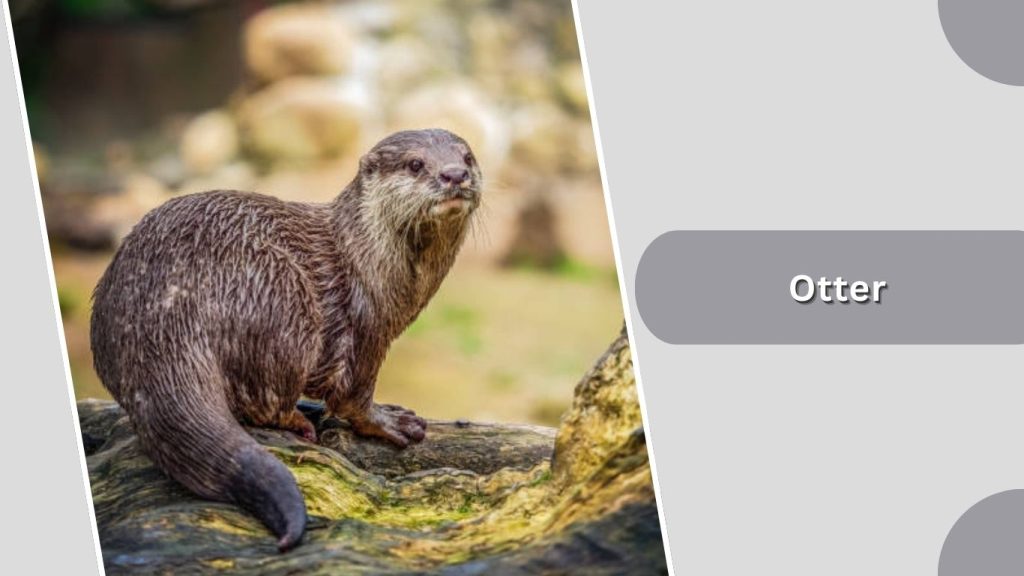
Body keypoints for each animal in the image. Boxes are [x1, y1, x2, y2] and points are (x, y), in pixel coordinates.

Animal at [89, 129, 482, 551]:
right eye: (415, 164)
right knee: (266, 400)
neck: (367, 258)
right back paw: (299, 420)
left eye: (467, 157)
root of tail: (161, 321)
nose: (454, 174)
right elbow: (354, 395)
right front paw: (389, 421)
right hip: (282, 294)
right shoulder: (367, 325)